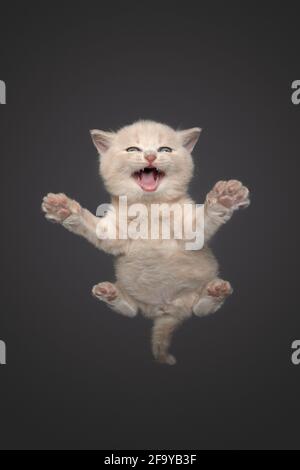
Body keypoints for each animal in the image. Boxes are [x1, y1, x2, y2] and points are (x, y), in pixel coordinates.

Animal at [41, 119, 248, 366]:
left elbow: (205, 217)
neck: (149, 207)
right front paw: (62, 209)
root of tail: (166, 311)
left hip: (193, 298)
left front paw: (224, 198)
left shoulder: (191, 231)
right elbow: (91, 224)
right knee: (131, 310)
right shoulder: (113, 234)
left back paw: (215, 291)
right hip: (136, 297)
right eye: (133, 149)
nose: (150, 156)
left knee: (200, 309)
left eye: (164, 149)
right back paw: (110, 293)